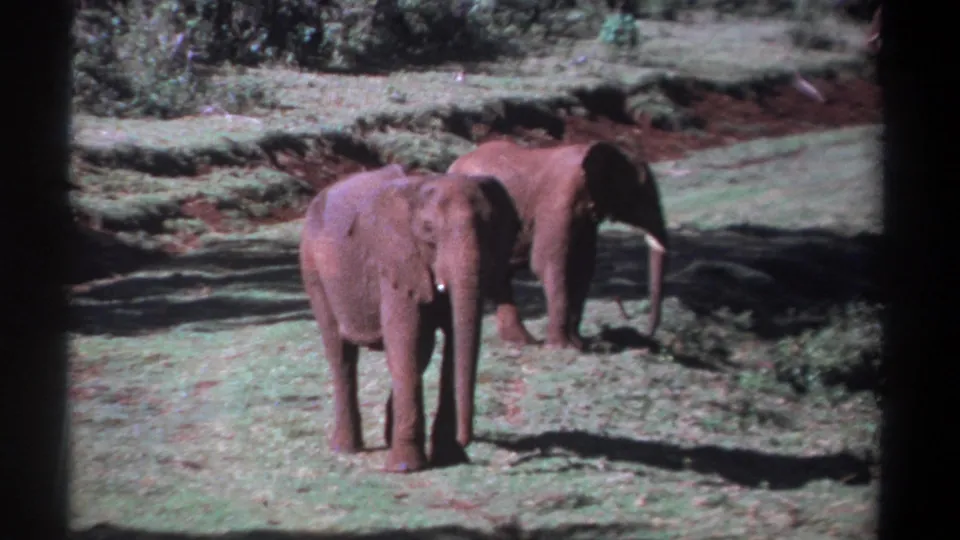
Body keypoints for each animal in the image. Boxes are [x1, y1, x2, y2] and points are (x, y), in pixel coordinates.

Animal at [299, 165, 521, 473]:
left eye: (491, 227)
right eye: (428, 230)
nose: (466, 440)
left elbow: (445, 344)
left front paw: (449, 457)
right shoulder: (396, 261)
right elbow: (407, 340)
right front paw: (405, 468)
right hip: (313, 267)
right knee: (341, 353)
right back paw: (346, 449)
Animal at [447, 139, 668, 350]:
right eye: (642, 196)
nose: (648, 333)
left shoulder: (585, 217)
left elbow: (583, 267)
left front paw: (579, 345)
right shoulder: (558, 201)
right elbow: (546, 263)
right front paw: (561, 347)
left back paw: (522, 341)